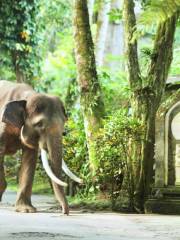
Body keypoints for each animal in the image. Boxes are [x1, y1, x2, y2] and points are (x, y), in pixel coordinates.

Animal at [0, 80, 82, 214]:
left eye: (64, 123)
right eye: (39, 124)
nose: (64, 212)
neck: (27, 96)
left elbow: (30, 158)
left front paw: (26, 210)